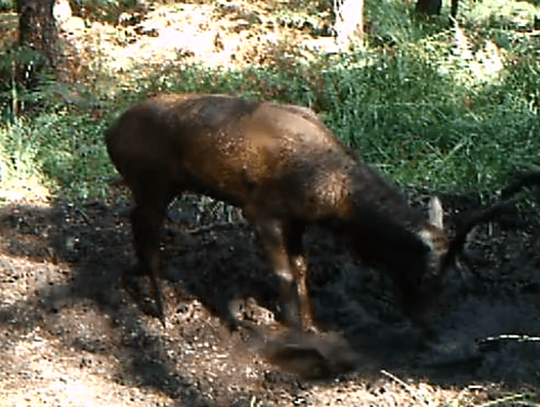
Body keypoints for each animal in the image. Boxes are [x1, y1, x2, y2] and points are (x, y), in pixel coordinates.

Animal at [104, 94, 506, 334]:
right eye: (426, 276)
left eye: (456, 281)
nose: (426, 325)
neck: (333, 201)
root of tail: (110, 135)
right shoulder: (260, 209)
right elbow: (282, 272)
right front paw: (295, 328)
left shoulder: (296, 220)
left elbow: (301, 268)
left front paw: (313, 324)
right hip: (152, 181)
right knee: (148, 232)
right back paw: (162, 310)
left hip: (159, 186)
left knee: (133, 219)